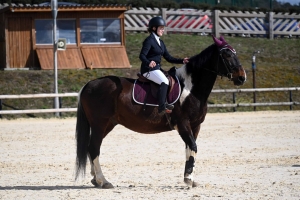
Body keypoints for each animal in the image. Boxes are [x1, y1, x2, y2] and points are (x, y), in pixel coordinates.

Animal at [75, 35, 246, 188]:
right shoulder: (183, 124)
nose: (242, 77)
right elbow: (193, 147)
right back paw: (103, 181)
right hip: (100, 124)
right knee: (94, 147)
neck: (190, 89)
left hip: (107, 125)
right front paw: (188, 179)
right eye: (227, 55)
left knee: (92, 147)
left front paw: (189, 177)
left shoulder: (195, 126)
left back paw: (95, 179)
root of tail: (89, 84)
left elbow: (190, 149)